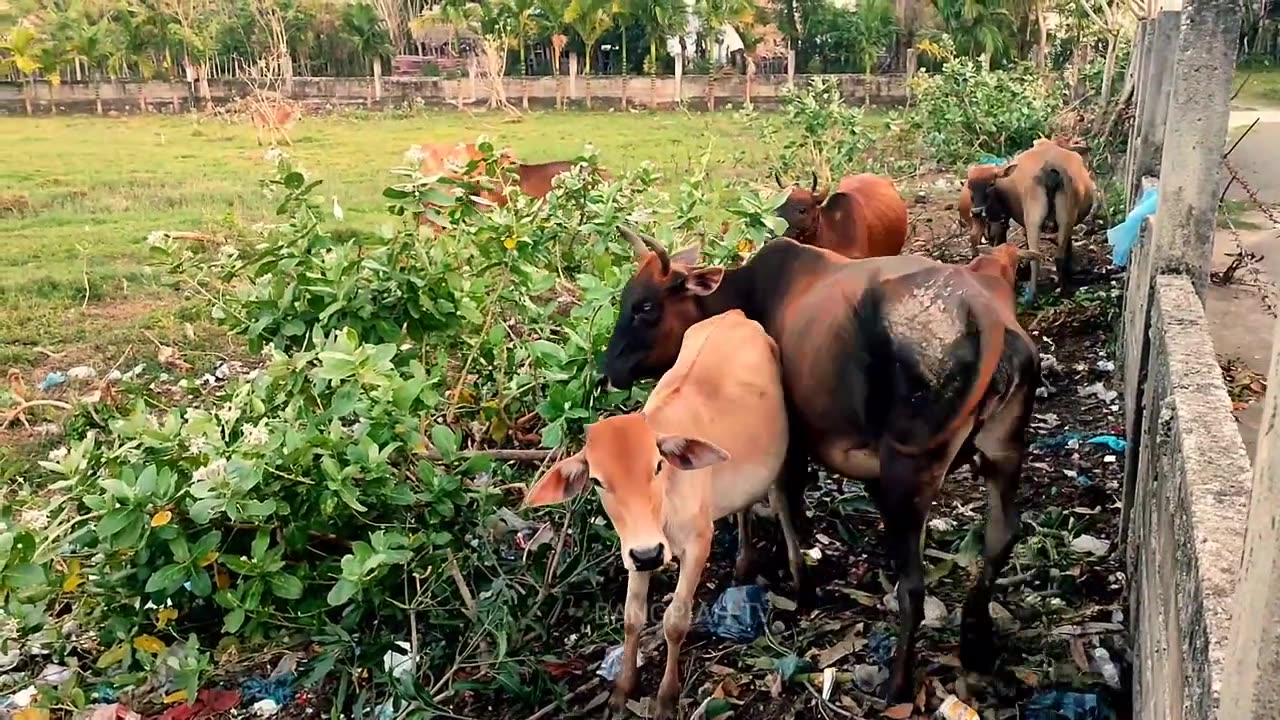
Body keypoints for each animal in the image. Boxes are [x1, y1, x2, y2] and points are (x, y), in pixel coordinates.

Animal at [522, 308, 798, 717]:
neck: (664, 506)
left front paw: (667, 697)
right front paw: (623, 690)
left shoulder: (698, 543)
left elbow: (675, 621)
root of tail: (734, 314)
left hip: (779, 460)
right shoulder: (635, 552)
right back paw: (744, 562)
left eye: (657, 466)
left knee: (782, 502)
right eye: (598, 481)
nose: (650, 553)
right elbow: (632, 617)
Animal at [599, 228, 1039, 702]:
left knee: (914, 585)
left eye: (645, 306)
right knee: (1000, 536)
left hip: (909, 466)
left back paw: (898, 683)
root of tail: (994, 323)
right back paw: (975, 641)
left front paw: (787, 573)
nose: (607, 371)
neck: (743, 297)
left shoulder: (791, 438)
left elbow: (783, 501)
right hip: (1004, 453)